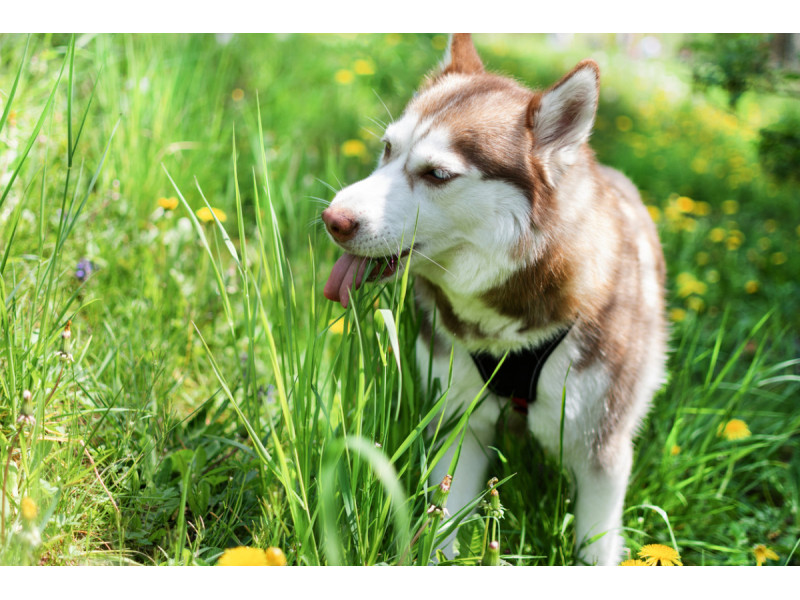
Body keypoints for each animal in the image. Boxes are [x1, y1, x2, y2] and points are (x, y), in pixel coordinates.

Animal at [322, 34, 664, 568]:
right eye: (387, 148)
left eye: (437, 174)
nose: (332, 219)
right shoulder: (458, 421)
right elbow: (443, 525)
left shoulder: (601, 450)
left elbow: (595, 545)